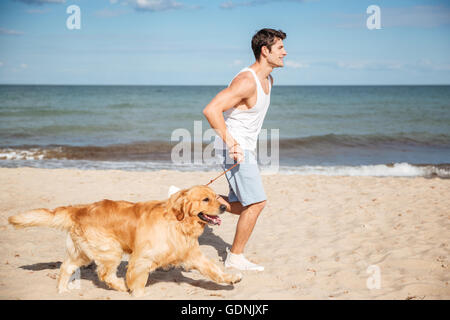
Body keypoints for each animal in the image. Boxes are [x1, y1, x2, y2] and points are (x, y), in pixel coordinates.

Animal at [8, 185, 241, 298]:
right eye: (205, 199)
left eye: (216, 197)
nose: (224, 207)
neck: (178, 221)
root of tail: (80, 209)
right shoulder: (141, 258)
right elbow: (137, 279)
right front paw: (137, 292)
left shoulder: (192, 254)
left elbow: (213, 269)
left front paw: (231, 278)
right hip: (110, 249)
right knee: (105, 274)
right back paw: (121, 286)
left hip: (82, 251)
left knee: (66, 267)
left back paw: (63, 290)